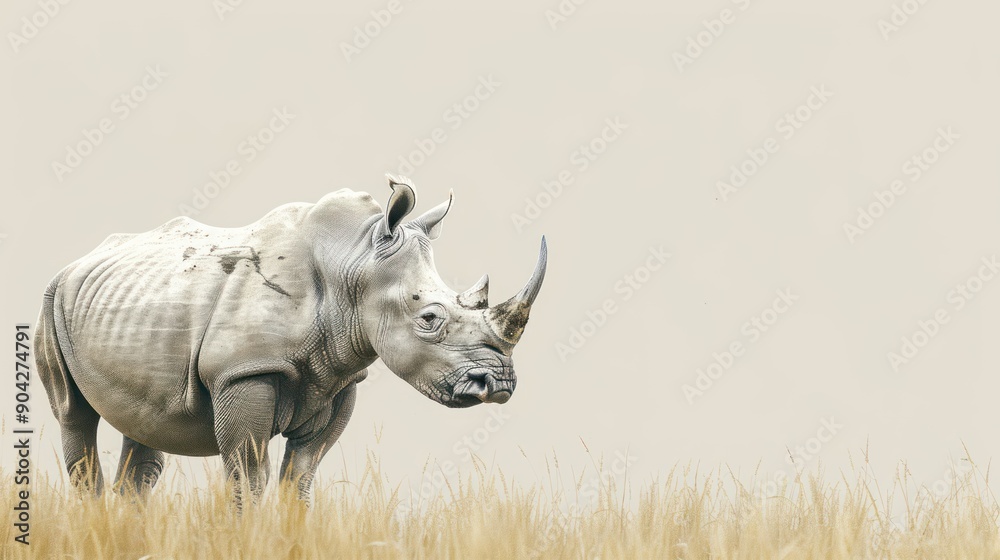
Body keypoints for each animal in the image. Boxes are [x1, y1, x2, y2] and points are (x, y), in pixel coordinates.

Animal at [35, 175, 546, 502]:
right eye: (430, 318)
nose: (499, 384)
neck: (353, 265)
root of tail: (81, 260)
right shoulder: (243, 371)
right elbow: (247, 476)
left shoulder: (339, 376)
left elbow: (300, 476)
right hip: (51, 298)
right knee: (73, 413)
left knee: (143, 424)